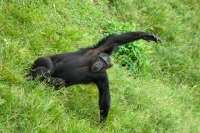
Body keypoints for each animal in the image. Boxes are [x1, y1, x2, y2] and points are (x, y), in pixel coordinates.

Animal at [26, 31, 161, 122]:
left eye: (105, 63)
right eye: (101, 59)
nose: (100, 63)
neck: (90, 64)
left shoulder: (102, 77)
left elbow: (104, 95)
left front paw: (102, 122)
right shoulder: (99, 50)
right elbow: (116, 40)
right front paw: (146, 35)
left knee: (57, 82)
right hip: (39, 60)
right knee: (48, 67)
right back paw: (30, 77)